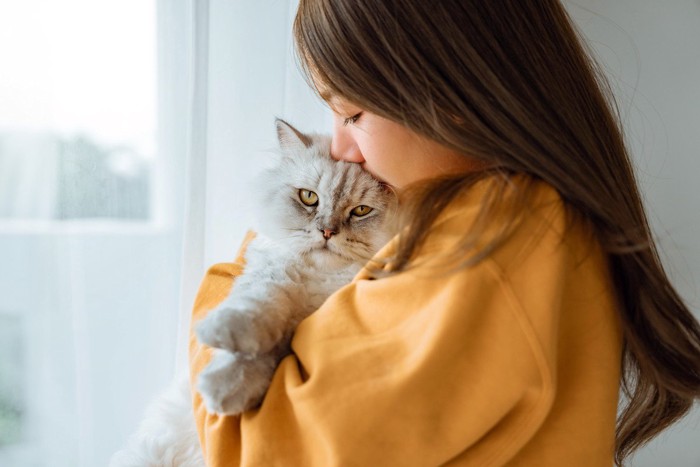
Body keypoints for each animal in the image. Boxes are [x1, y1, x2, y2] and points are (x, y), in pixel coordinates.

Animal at [108, 119, 394, 466]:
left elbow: (265, 359)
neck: (317, 280)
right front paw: (224, 350)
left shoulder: (296, 335)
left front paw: (223, 392)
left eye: (361, 210)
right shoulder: (271, 278)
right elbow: (253, 316)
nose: (327, 232)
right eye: (309, 197)